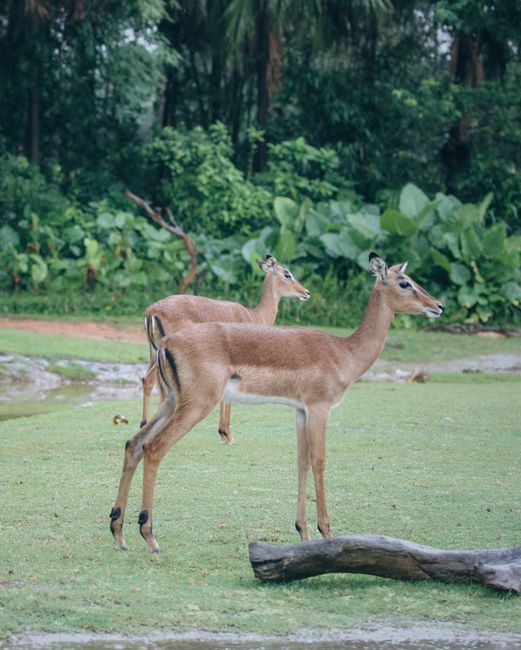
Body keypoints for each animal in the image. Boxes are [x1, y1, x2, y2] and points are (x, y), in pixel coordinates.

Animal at [140, 255, 310, 444]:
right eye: (287, 274)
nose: (306, 292)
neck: (254, 316)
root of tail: (151, 311)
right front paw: (227, 434)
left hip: (155, 354)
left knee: (148, 381)